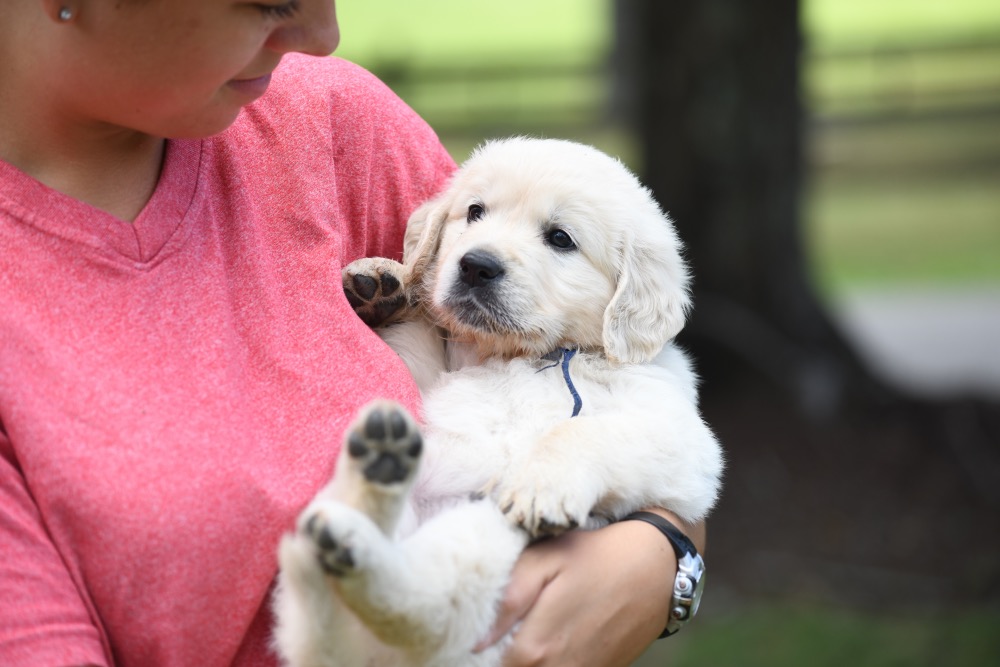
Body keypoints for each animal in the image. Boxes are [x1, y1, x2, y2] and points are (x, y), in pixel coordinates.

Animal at [274, 138, 728, 664]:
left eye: (560, 239)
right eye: (475, 212)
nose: (476, 265)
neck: (522, 355)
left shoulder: (682, 438)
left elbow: (580, 430)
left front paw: (541, 488)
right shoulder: (431, 377)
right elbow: (415, 348)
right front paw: (384, 281)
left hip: (489, 545)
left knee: (425, 609)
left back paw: (360, 514)